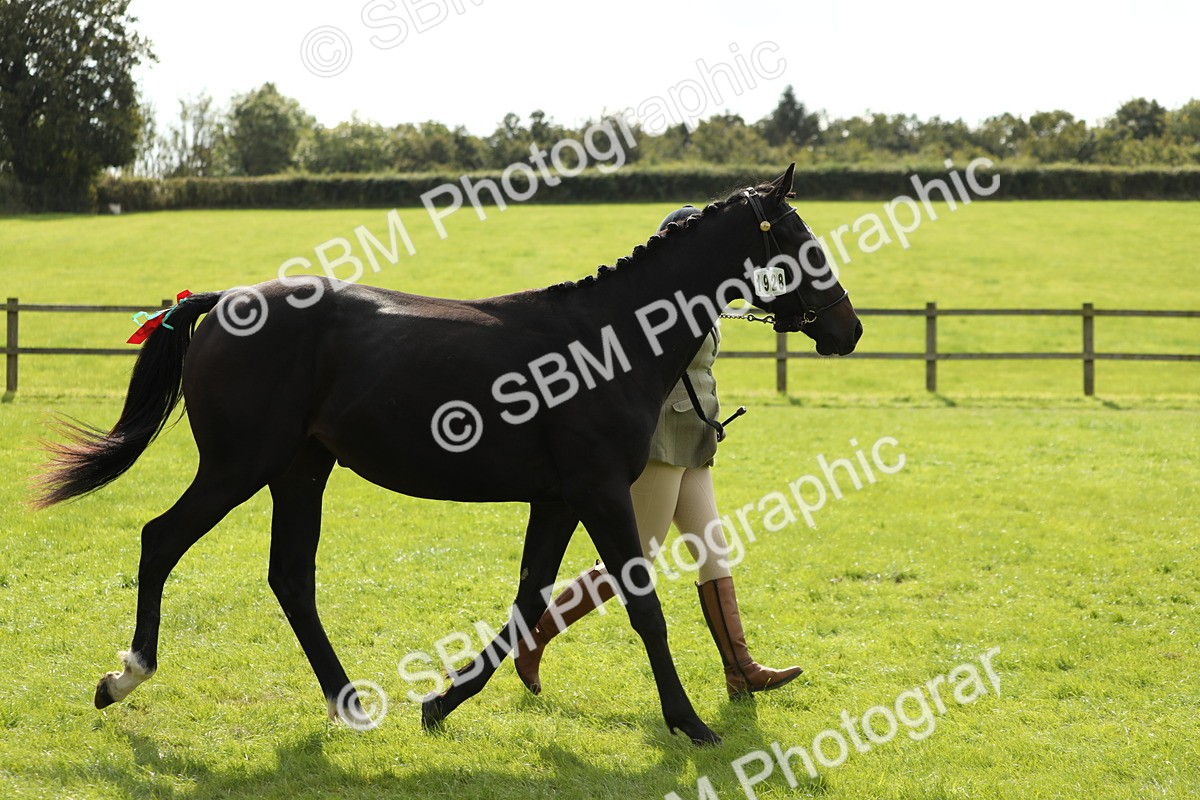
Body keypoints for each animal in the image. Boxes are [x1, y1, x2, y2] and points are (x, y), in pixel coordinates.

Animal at [35, 164, 861, 745]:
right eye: (801, 242)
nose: (847, 330)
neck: (608, 341)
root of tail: (221, 304)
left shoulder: (557, 499)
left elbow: (530, 601)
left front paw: (440, 702)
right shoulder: (598, 492)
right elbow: (644, 606)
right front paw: (691, 723)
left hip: (300, 472)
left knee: (290, 579)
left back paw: (350, 705)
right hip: (239, 468)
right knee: (161, 540)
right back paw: (123, 678)